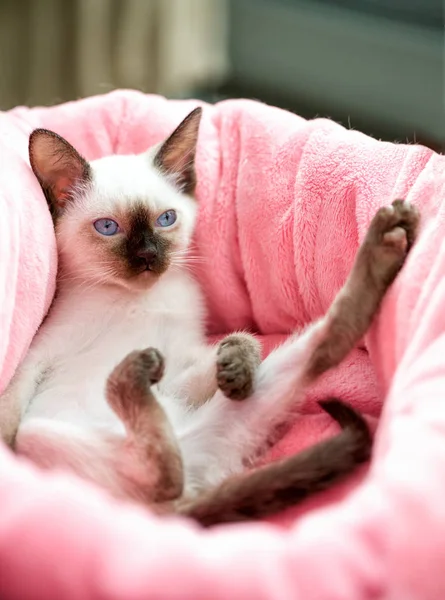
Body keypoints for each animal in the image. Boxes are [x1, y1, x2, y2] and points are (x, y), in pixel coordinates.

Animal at [0, 109, 416, 524]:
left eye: (166, 219)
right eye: (108, 227)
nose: (149, 257)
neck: (137, 299)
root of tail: (169, 515)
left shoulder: (180, 363)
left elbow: (243, 340)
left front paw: (235, 370)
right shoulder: (41, 352)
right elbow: (11, 401)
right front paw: (8, 459)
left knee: (330, 340)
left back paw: (390, 237)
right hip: (42, 433)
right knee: (160, 473)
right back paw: (129, 376)